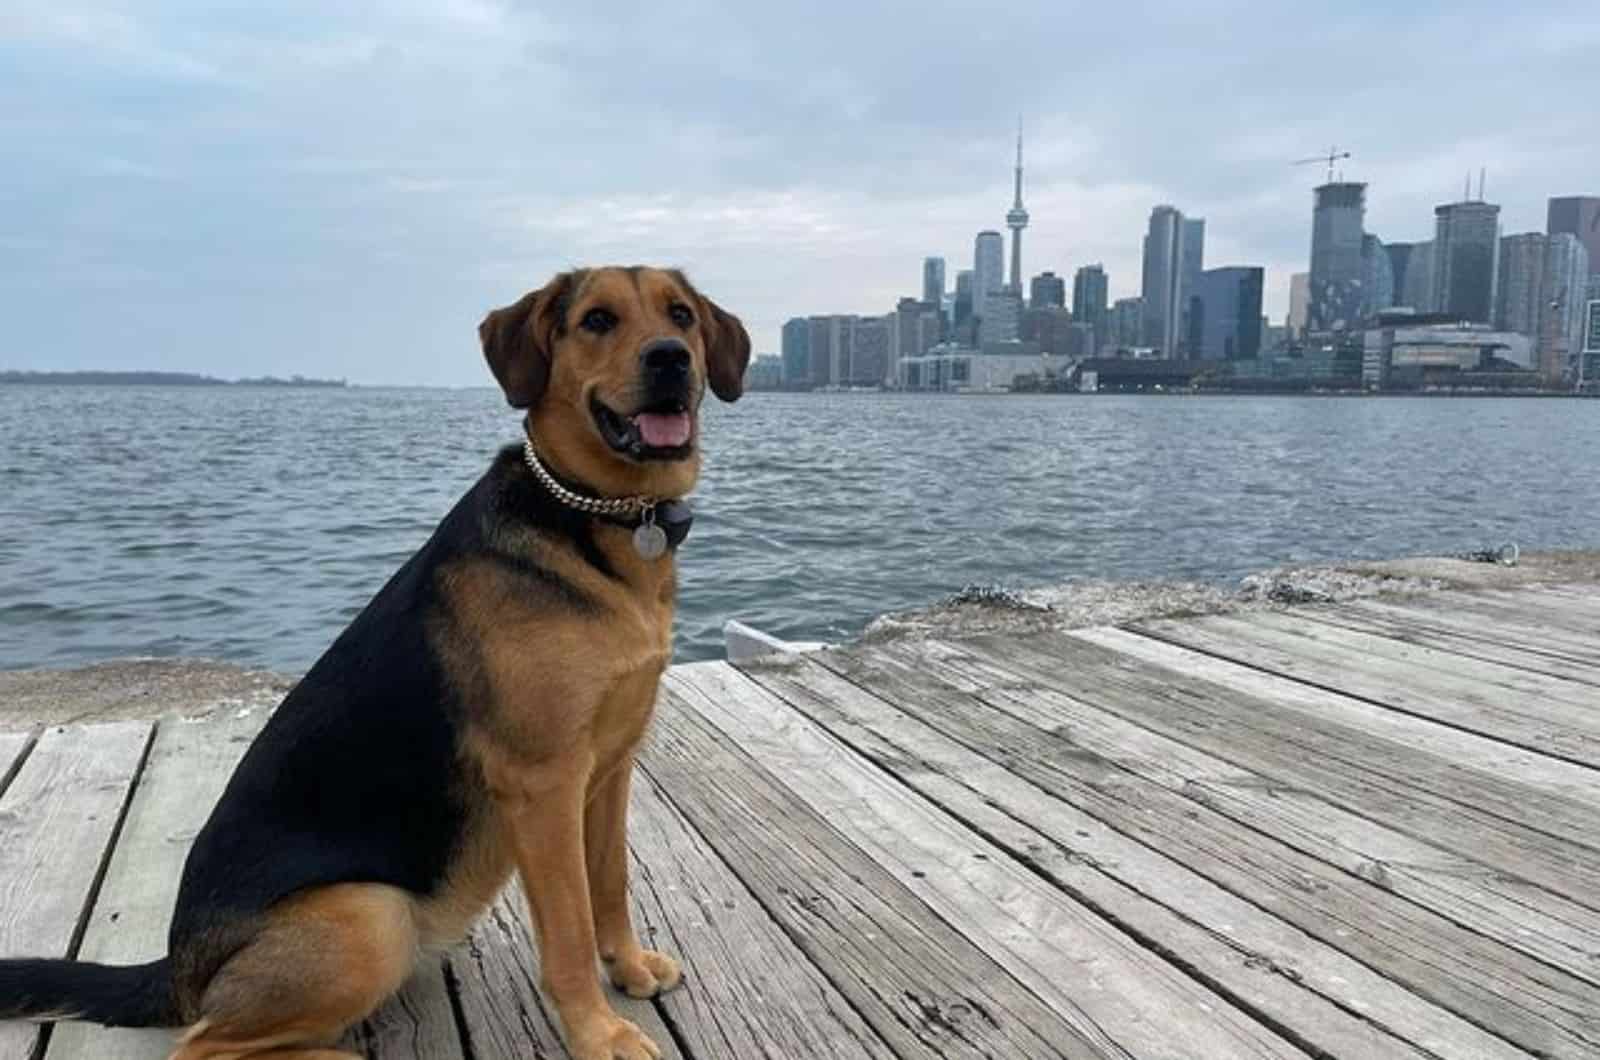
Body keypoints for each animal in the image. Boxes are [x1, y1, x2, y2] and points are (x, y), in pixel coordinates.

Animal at [0, 267, 748, 1060]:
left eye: (681, 315)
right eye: (598, 320)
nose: (670, 359)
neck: (597, 516)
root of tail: (178, 966)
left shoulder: (609, 769)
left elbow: (609, 885)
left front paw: (628, 970)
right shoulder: (544, 785)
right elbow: (570, 931)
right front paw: (597, 1032)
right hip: (372, 914)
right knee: (199, 1045)